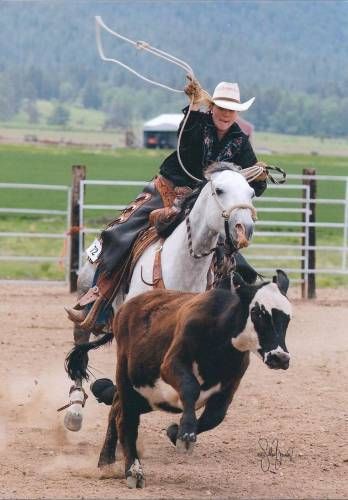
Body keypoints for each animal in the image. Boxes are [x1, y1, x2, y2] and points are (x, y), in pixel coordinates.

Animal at [65, 166, 256, 432]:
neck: (182, 267)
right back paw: (74, 411)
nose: (244, 228)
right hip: (86, 305)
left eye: (251, 192)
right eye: (219, 190)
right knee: (81, 348)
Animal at [65, 270, 290, 488]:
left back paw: (106, 462)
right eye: (258, 312)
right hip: (126, 377)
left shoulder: (229, 386)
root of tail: (125, 308)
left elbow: (215, 416)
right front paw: (186, 435)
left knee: (116, 409)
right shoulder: (172, 364)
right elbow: (191, 388)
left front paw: (175, 431)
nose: (280, 357)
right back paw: (133, 471)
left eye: (287, 318)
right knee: (125, 418)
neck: (220, 337)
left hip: (146, 395)